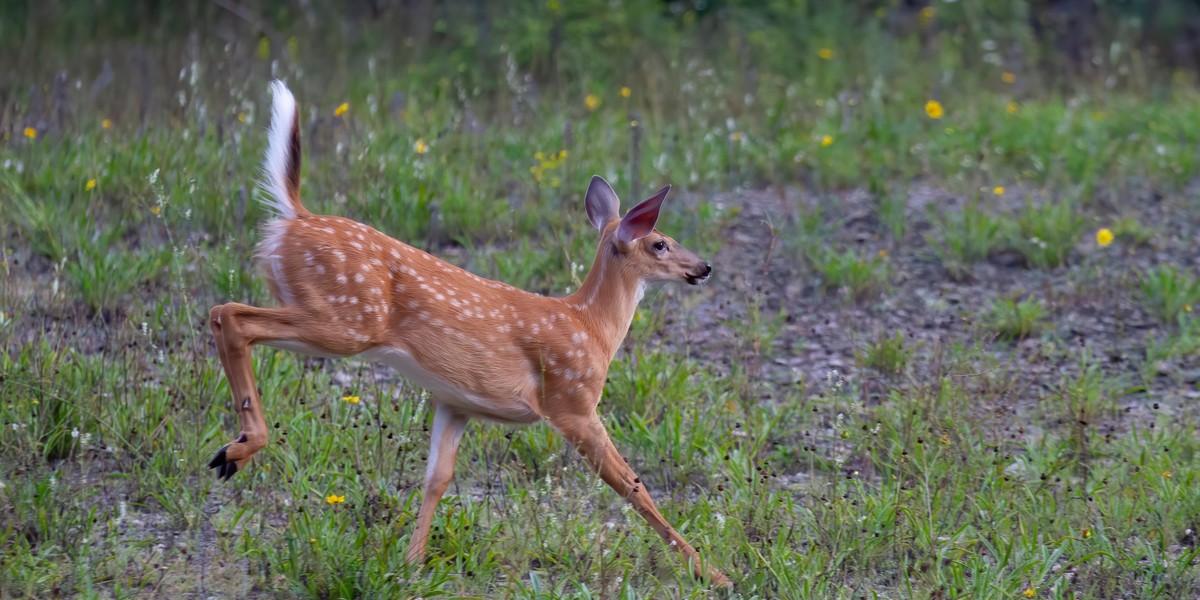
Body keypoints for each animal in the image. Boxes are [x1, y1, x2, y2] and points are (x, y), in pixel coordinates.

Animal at [206, 79, 724, 585]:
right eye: (660, 243)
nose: (703, 267)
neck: (590, 325)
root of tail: (295, 217)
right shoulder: (571, 401)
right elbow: (633, 485)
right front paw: (711, 573)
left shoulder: (455, 401)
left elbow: (437, 478)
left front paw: (412, 565)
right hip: (345, 319)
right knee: (229, 313)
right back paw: (238, 448)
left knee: (226, 314)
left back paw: (233, 452)